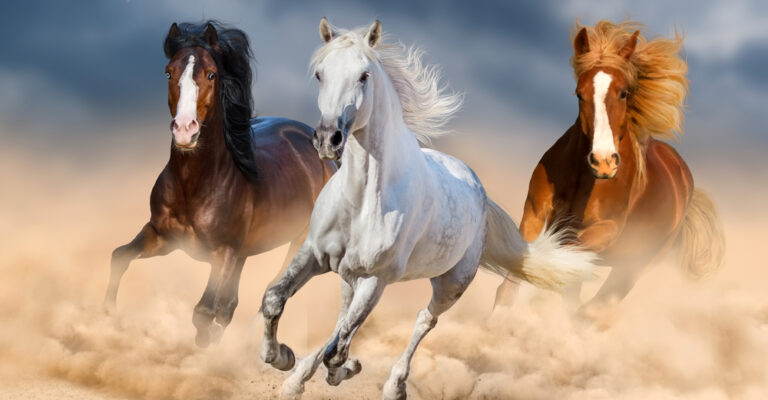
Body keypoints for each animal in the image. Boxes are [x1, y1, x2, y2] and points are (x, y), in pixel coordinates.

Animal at [104, 21, 336, 347]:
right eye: (169, 72)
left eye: (211, 74)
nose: (185, 130)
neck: (196, 185)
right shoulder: (162, 237)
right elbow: (120, 257)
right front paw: (108, 316)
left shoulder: (223, 252)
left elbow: (203, 311)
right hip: (244, 252)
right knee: (230, 304)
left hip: (300, 242)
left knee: (273, 290)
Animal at [258, 19, 597, 399]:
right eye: (320, 74)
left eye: (364, 75)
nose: (328, 139)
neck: (361, 200)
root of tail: (479, 191)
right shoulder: (314, 254)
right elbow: (275, 299)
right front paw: (282, 358)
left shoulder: (376, 279)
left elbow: (339, 347)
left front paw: (339, 369)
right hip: (350, 276)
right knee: (344, 318)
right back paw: (299, 377)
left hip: (451, 283)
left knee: (423, 319)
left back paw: (393, 385)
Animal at [494, 21, 725, 314]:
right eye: (579, 94)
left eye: (623, 92)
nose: (603, 162)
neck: (582, 180)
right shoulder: (534, 217)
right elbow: (510, 286)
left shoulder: (606, 231)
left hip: (634, 267)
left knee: (593, 306)